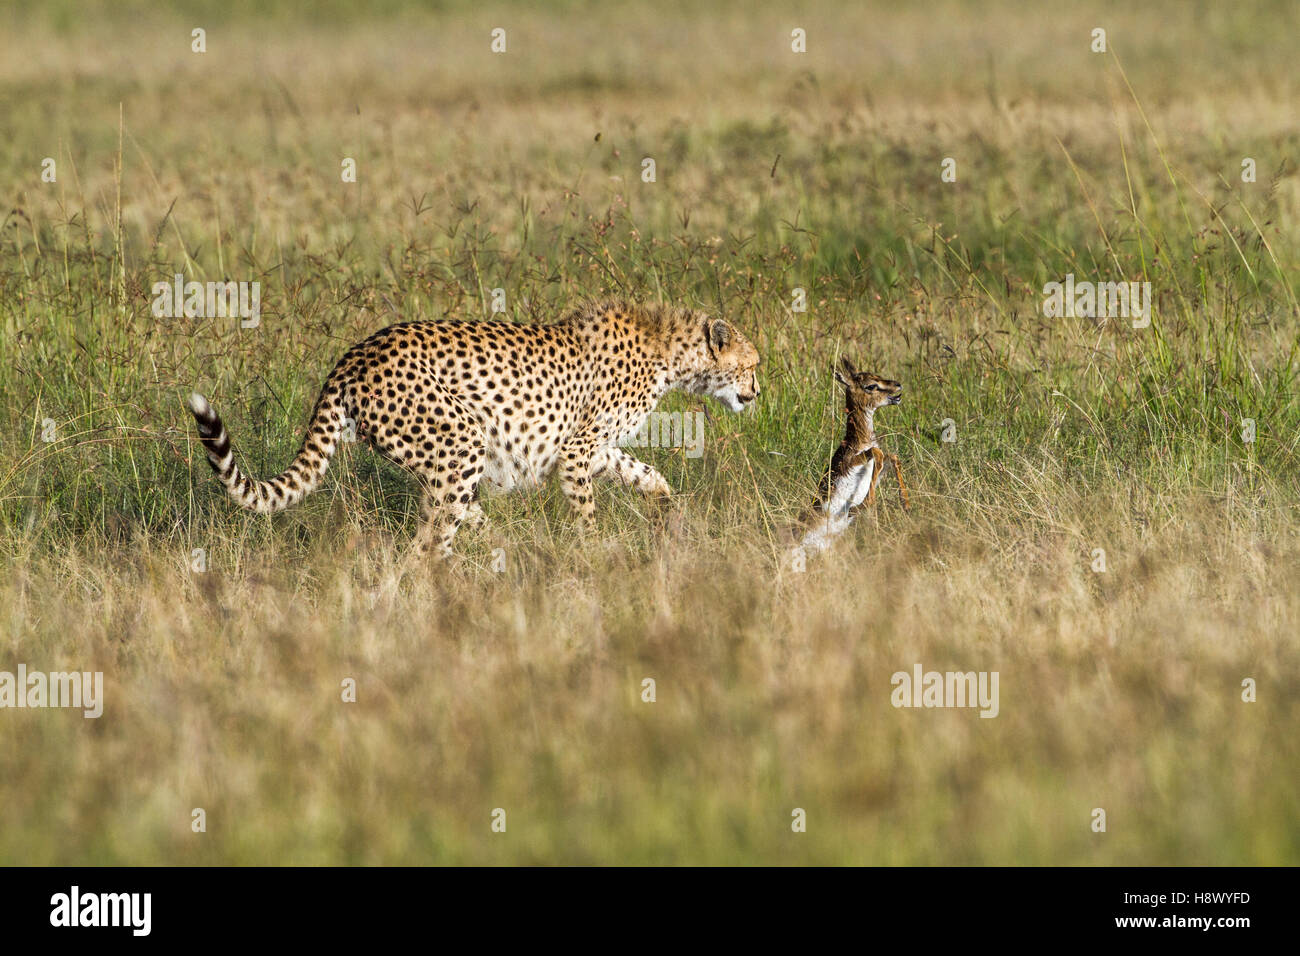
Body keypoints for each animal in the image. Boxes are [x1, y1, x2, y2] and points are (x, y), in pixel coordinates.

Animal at [186, 300, 761, 556]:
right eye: (752, 365)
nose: (756, 393)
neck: (672, 350)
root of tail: (353, 355)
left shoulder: (589, 449)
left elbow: (645, 471)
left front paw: (667, 505)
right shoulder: (577, 451)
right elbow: (588, 511)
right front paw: (593, 553)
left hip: (437, 455)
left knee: (448, 517)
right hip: (461, 438)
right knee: (427, 548)